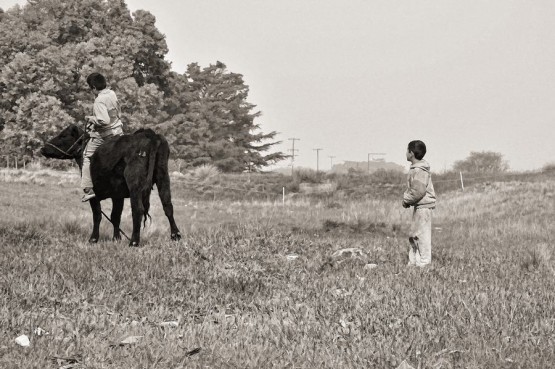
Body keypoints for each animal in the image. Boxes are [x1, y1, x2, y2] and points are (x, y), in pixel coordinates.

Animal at [41, 124, 180, 247]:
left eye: (63, 135)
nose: (43, 148)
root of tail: (149, 134)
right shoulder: (117, 195)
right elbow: (115, 216)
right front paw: (116, 238)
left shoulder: (94, 194)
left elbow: (97, 215)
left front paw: (93, 239)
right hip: (163, 176)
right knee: (168, 205)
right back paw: (175, 235)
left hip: (134, 182)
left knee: (138, 210)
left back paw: (134, 242)